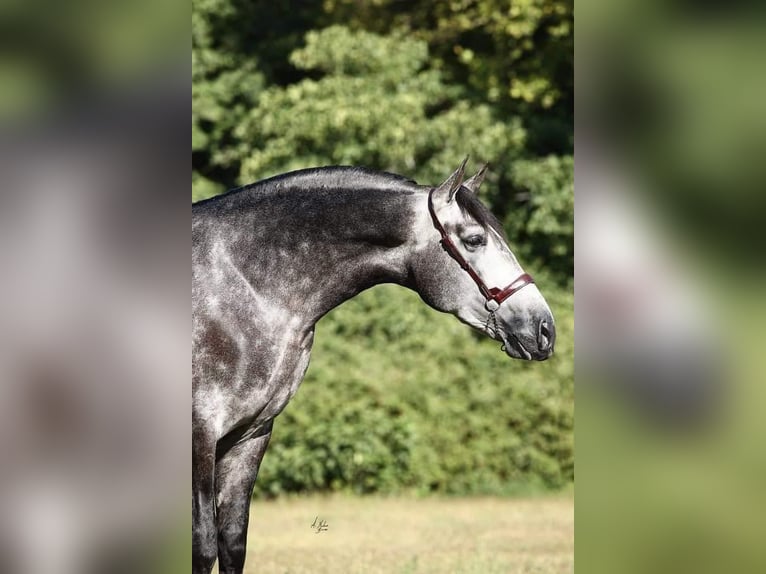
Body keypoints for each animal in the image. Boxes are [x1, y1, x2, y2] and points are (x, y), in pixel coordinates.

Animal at [191, 162, 552, 574]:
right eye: (475, 240)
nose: (545, 328)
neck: (245, 283)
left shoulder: (249, 436)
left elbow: (233, 542)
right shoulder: (201, 434)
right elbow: (204, 545)